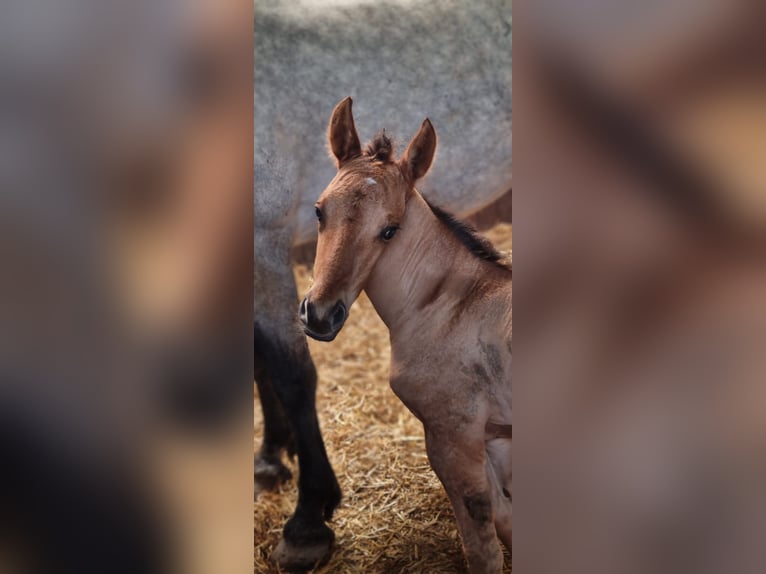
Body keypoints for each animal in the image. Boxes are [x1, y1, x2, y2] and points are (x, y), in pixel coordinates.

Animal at [299, 98, 512, 573]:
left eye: (389, 230)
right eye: (320, 211)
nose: (320, 316)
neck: (449, 305)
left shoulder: (452, 437)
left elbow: (482, 544)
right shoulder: (492, 437)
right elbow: (508, 521)